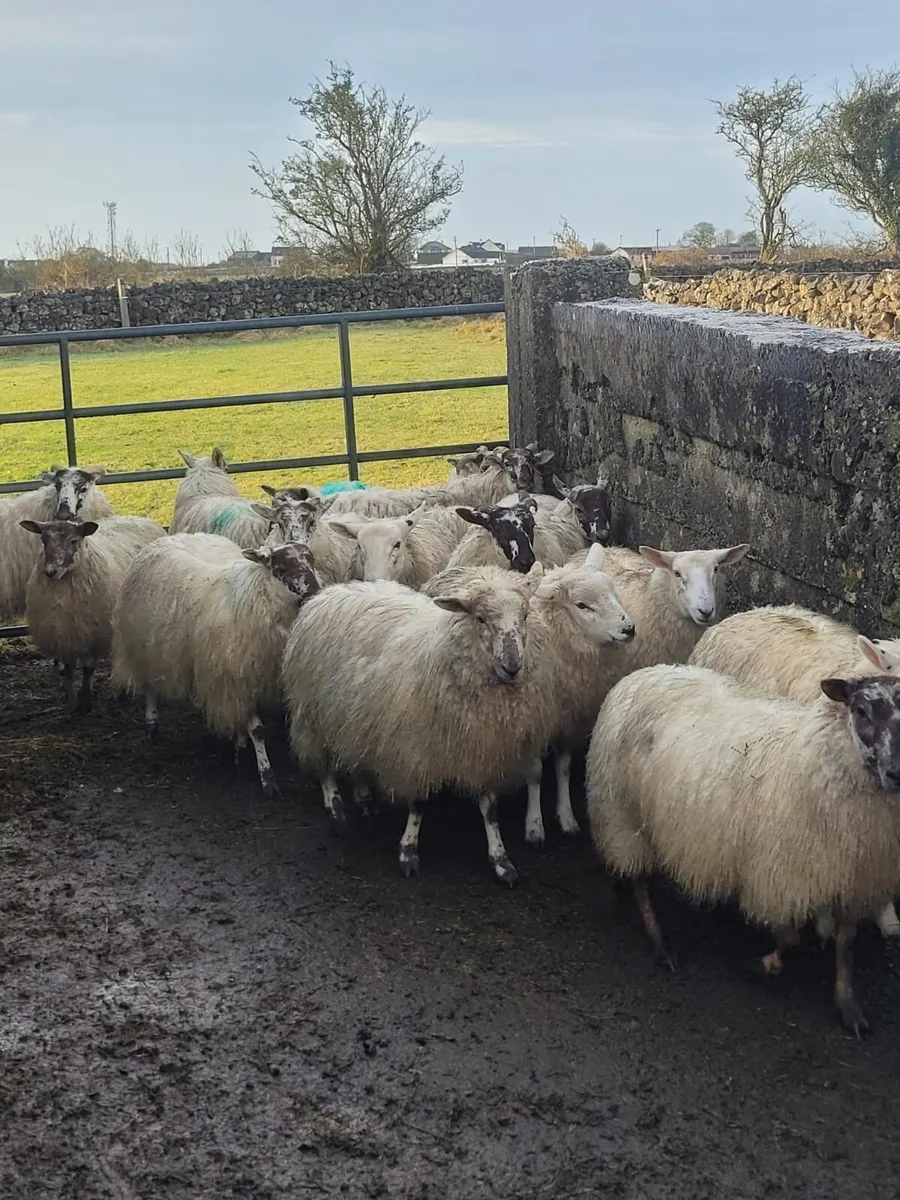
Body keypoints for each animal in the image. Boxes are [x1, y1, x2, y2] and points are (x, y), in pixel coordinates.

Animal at [21, 516, 166, 712]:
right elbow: (69, 671)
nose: (51, 571)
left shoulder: (92, 635)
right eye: (44, 540)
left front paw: (86, 701)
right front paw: (72, 702)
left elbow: (88, 669)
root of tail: (138, 517)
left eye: (73, 541)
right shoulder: (67, 636)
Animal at [111, 533, 321, 794]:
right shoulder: (234, 677)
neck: (257, 597)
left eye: (311, 561)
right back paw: (152, 724)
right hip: (145, 646)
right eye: (280, 568)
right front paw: (267, 777)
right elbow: (258, 730)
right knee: (150, 685)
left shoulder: (246, 677)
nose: (315, 591)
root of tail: (173, 535)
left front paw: (239, 750)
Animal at [283, 549, 634, 883]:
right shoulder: (419, 749)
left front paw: (504, 856)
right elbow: (421, 803)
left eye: (524, 615)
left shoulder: (495, 742)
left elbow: (500, 802)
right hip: (311, 713)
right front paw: (409, 851)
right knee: (322, 765)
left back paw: (364, 797)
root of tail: (333, 590)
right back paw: (336, 809)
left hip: (355, 715)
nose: (629, 629)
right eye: (479, 618)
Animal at [587, 663, 900, 1036]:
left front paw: (847, 1003)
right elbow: (790, 939)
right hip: (624, 813)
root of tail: (643, 673)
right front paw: (762, 966)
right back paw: (661, 943)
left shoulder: (856, 877)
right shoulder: (778, 875)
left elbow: (846, 944)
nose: (896, 772)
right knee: (640, 881)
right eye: (861, 711)